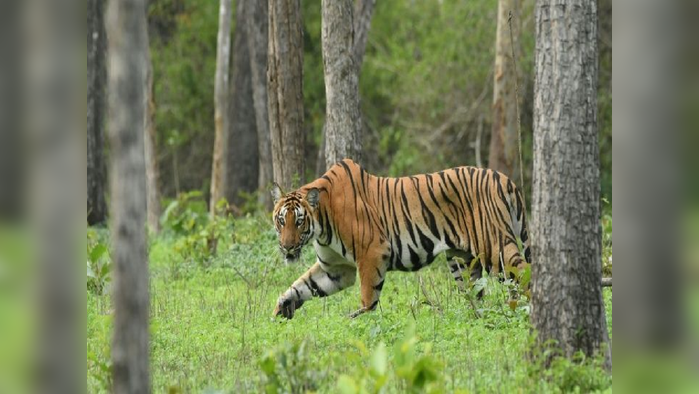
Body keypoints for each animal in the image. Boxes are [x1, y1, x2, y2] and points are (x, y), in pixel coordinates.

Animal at [272, 159, 532, 318]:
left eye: (299, 221)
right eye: (281, 220)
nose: (287, 247)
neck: (321, 224)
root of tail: (505, 179)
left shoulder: (373, 252)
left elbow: (368, 299)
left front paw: (357, 320)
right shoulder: (336, 269)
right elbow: (303, 285)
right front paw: (282, 307)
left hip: (495, 246)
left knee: (523, 274)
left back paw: (523, 312)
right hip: (462, 261)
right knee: (477, 294)